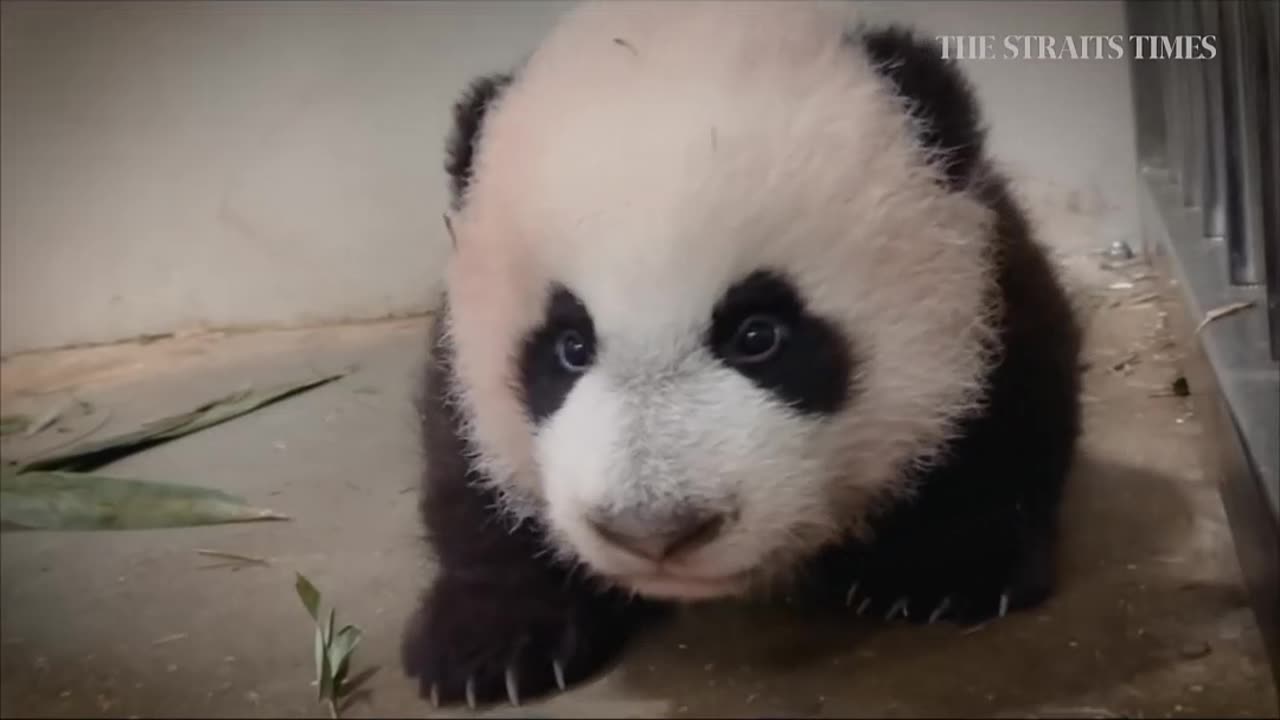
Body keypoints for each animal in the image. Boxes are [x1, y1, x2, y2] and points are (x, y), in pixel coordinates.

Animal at [399, 0, 1080, 707]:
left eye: (758, 335)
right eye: (569, 346)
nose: (654, 531)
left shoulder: (985, 279)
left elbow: (1006, 402)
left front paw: (944, 570)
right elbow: (462, 463)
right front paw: (489, 644)